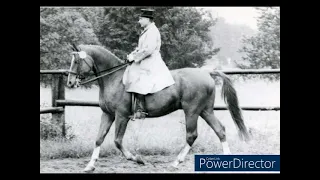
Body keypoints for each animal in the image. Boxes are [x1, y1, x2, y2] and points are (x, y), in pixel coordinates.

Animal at [66, 44, 251, 173]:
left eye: (77, 61)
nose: (70, 82)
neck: (114, 79)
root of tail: (206, 73)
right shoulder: (108, 115)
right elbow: (99, 138)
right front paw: (90, 166)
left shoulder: (121, 116)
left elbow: (117, 141)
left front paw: (137, 159)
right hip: (205, 111)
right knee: (220, 130)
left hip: (191, 111)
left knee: (192, 135)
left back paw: (176, 162)